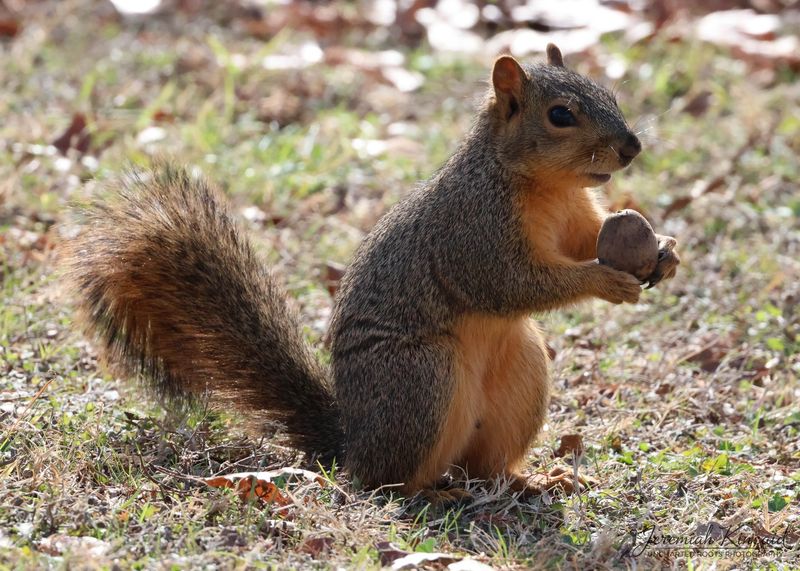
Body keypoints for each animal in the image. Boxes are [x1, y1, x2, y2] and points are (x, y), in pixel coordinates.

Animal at [64, 44, 679, 498]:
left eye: (610, 94)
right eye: (560, 116)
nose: (631, 147)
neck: (545, 187)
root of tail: (352, 444)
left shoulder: (576, 218)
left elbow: (584, 241)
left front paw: (666, 251)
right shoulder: (474, 232)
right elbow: (511, 285)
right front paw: (605, 280)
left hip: (521, 379)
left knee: (486, 466)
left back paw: (532, 479)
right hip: (422, 380)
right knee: (390, 481)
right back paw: (430, 493)